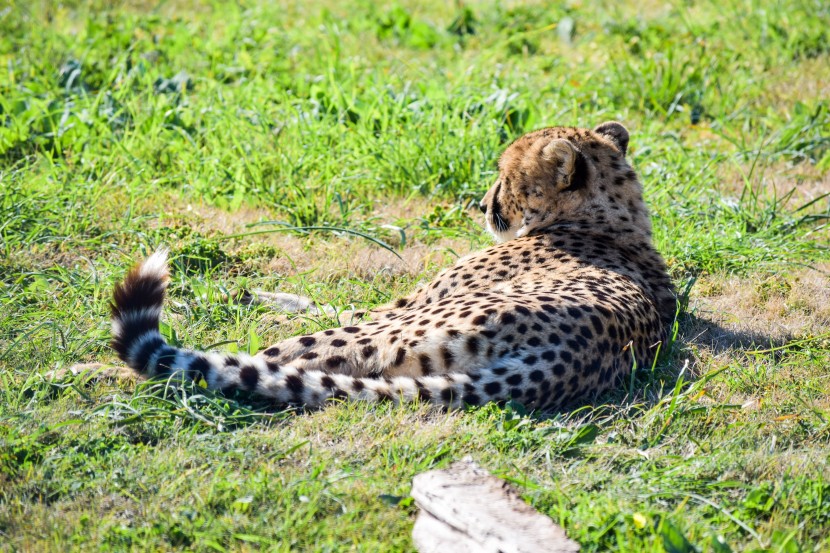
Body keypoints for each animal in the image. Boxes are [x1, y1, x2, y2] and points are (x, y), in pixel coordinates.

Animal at [110, 121, 680, 408]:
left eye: (505, 175)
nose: (482, 203)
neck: (607, 218)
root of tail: (561, 362)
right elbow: (320, 299)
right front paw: (238, 295)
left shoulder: (401, 307)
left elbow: (333, 308)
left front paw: (225, 298)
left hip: (387, 337)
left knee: (266, 360)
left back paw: (98, 372)